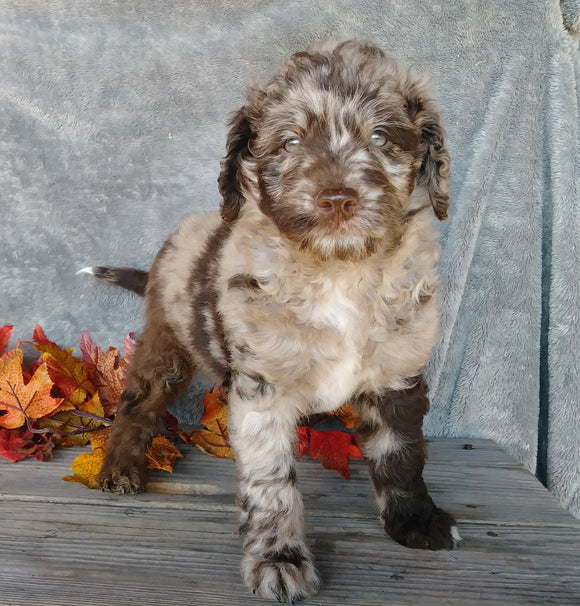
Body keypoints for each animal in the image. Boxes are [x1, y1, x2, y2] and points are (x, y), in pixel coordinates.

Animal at [86, 40, 460, 604]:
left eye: (381, 136)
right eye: (289, 142)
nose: (337, 200)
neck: (340, 272)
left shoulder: (397, 375)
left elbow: (401, 453)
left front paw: (415, 520)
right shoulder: (263, 392)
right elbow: (272, 485)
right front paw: (279, 559)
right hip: (165, 346)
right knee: (136, 404)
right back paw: (120, 468)